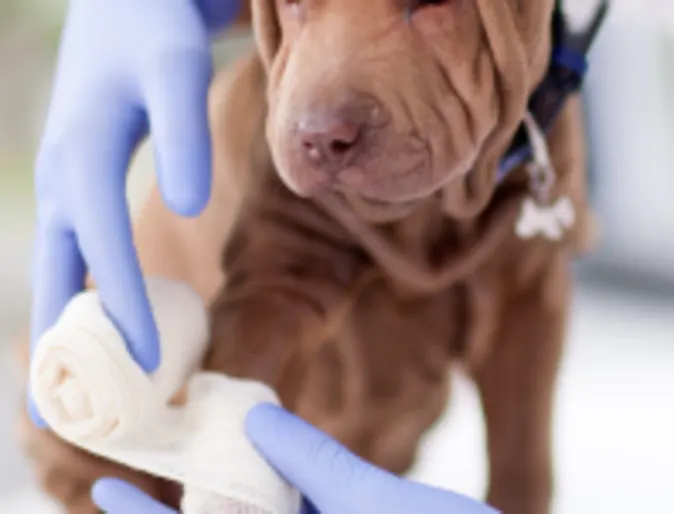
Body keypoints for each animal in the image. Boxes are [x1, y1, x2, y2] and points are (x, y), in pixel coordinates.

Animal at [15, 1, 596, 512]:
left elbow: (522, 452)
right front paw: (229, 494)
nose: (320, 136)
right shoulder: (277, 277)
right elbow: (248, 375)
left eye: (435, 3)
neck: (432, 217)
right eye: (291, 5)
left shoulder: (531, 298)